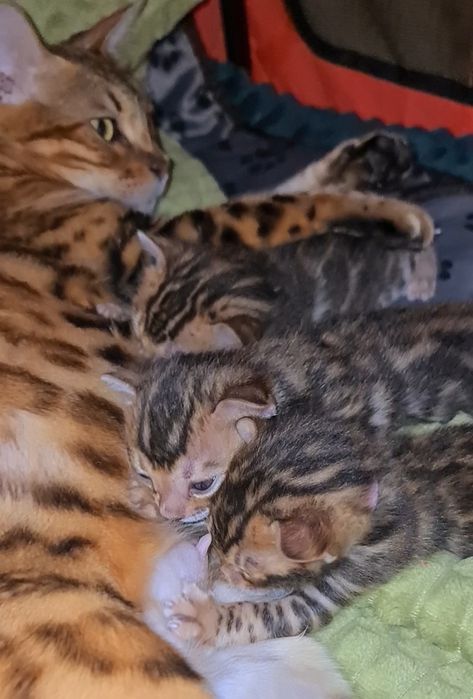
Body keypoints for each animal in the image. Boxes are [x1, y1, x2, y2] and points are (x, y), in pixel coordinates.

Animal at [162, 417, 473, 647]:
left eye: (247, 569)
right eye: (214, 536)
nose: (222, 575)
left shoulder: (339, 583)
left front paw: (203, 618)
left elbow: (263, 615)